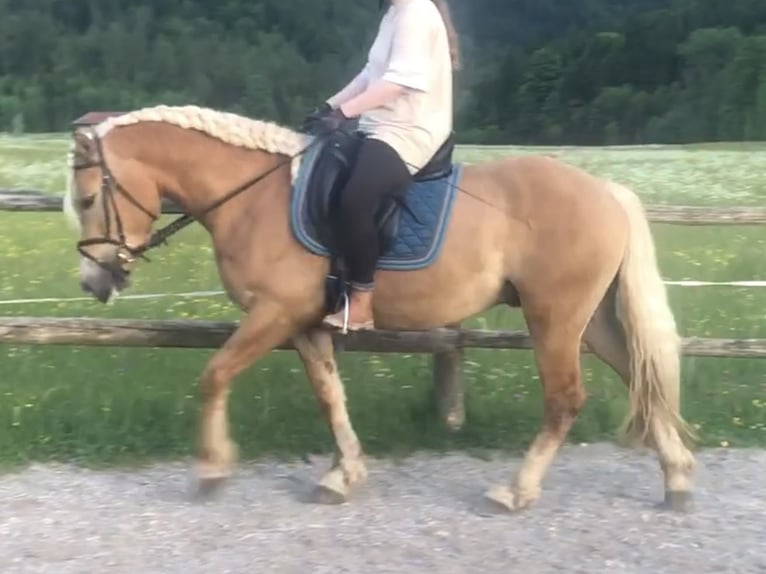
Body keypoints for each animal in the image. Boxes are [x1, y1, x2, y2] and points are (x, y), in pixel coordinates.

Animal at [63, 104, 696, 513]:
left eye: (91, 197)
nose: (95, 280)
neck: (256, 199)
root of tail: (606, 191)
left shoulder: (273, 314)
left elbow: (214, 375)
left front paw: (213, 470)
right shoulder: (305, 324)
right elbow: (330, 396)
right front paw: (344, 475)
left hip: (555, 317)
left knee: (565, 398)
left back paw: (516, 491)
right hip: (590, 320)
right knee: (641, 378)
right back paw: (677, 479)